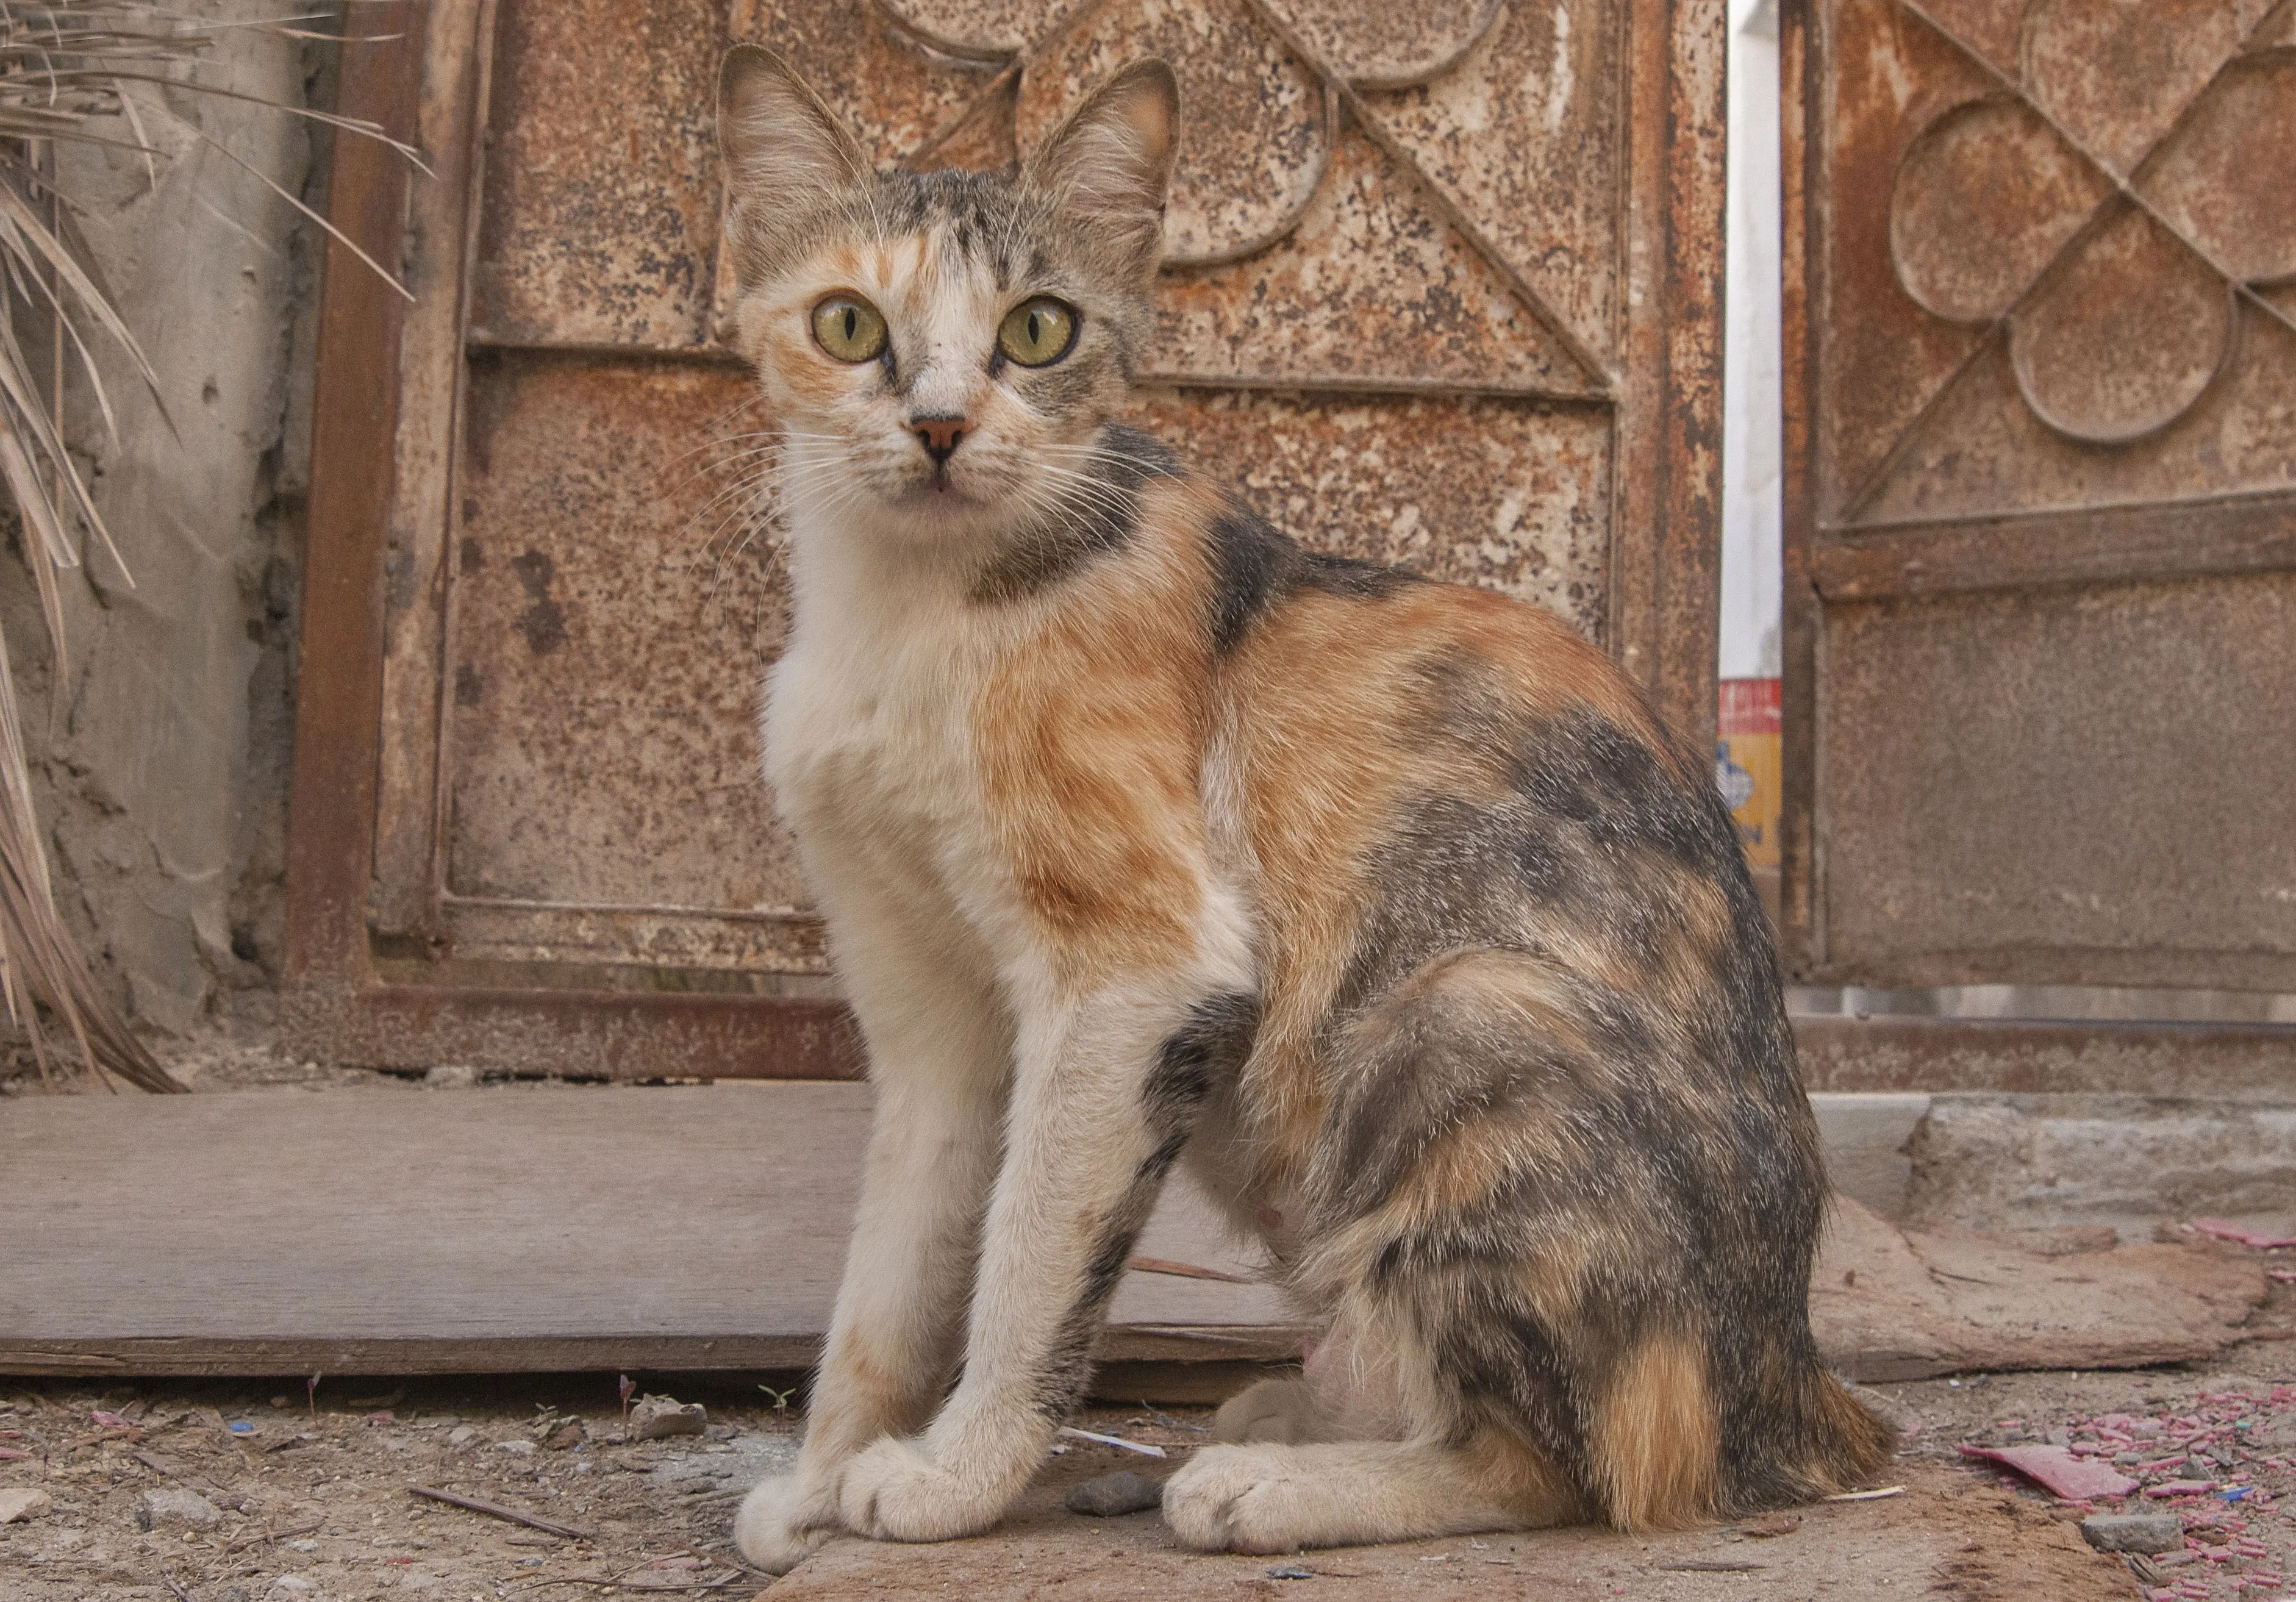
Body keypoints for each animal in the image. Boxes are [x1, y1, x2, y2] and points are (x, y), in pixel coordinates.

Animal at [716, 43, 1883, 1570]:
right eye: (848, 324)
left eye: (1038, 329)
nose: (939, 426)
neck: (909, 610)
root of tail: (1795, 1388)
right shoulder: (929, 1024)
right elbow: (889, 1275)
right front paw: (816, 1482)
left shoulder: (1136, 970)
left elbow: (1026, 1260)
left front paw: (956, 1475)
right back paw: (1293, 1410)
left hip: (1459, 1011)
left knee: (1584, 1464)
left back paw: (1274, 1483)